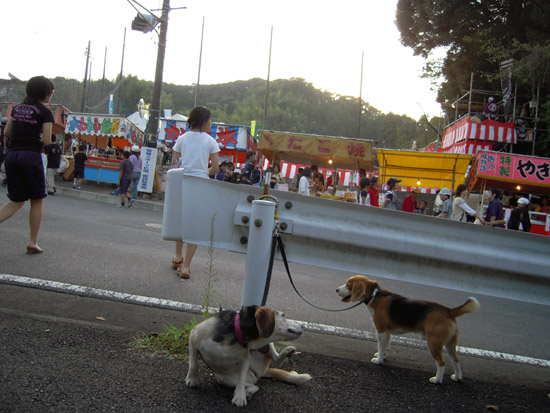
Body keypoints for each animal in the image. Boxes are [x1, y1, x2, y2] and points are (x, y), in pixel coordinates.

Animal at [336, 274, 478, 384]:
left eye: (348, 285)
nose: (336, 289)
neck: (375, 295)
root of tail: (449, 311)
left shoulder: (381, 330)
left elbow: (380, 347)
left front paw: (378, 360)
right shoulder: (388, 333)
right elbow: (385, 347)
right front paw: (383, 357)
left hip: (434, 343)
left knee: (441, 363)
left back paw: (437, 380)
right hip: (450, 343)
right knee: (456, 360)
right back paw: (457, 377)